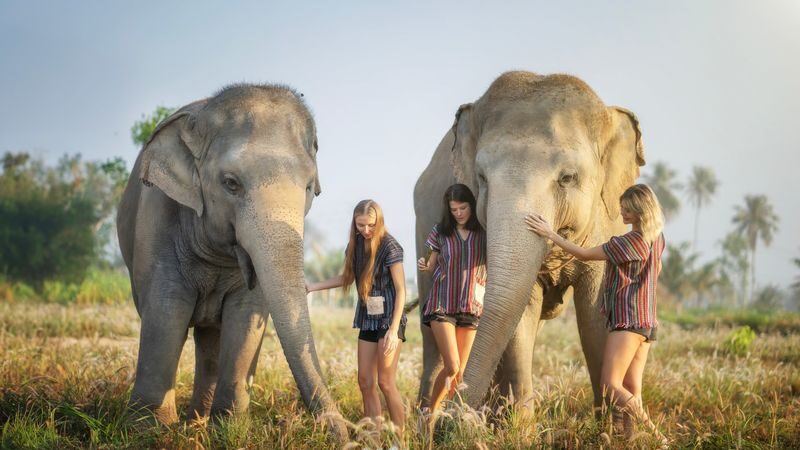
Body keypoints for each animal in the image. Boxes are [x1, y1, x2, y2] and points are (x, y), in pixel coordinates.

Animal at [117, 83, 344, 437]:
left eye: (309, 187)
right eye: (231, 183)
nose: (348, 432)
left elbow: (245, 316)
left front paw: (229, 429)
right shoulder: (156, 216)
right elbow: (166, 310)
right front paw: (148, 430)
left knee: (210, 339)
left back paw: (198, 422)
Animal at [414, 71, 645, 411]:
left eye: (567, 178)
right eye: (481, 178)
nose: (455, 413)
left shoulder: (609, 220)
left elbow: (596, 315)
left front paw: (613, 420)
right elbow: (520, 312)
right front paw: (517, 420)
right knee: (433, 337)